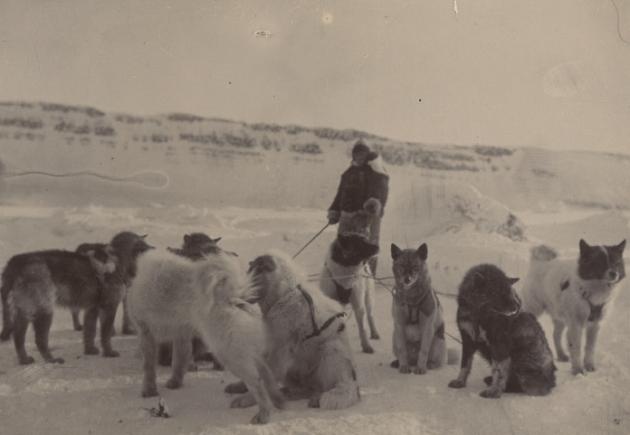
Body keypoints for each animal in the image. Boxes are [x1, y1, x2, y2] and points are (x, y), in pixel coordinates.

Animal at [228, 254, 362, 410]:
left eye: (255, 276)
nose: (236, 296)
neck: (284, 294)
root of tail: (354, 384)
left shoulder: (280, 348)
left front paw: (248, 398)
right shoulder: (273, 345)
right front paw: (242, 387)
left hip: (331, 349)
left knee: (326, 386)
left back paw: (317, 397)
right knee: (305, 389)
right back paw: (289, 393)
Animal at [390, 245, 450, 374]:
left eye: (415, 266)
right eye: (402, 265)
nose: (407, 279)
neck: (412, 300)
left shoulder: (427, 327)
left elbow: (424, 351)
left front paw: (421, 368)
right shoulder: (399, 325)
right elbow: (402, 350)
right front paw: (403, 366)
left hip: (437, 342)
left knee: (435, 360)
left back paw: (430, 364)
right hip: (394, 338)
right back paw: (399, 363)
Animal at [450, 264, 556, 400]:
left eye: (509, 291)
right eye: (497, 292)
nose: (516, 307)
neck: (479, 315)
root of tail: (552, 382)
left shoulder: (499, 345)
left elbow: (499, 371)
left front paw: (494, 391)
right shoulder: (468, 340)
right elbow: (465, 364)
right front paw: (460, 381)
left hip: (522, 358)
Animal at [520, 238, 628, 374]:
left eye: (616, 262)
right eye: (600, 262)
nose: (614, 274)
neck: (594, 289)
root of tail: (538, 263)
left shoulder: (595, 325)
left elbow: (590, 347)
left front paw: (589, 366)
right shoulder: (576, 325)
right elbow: (576, 347)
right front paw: (578, 370)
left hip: (560, 316)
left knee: (556, 335)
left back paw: (561, 355)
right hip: (534, 309)